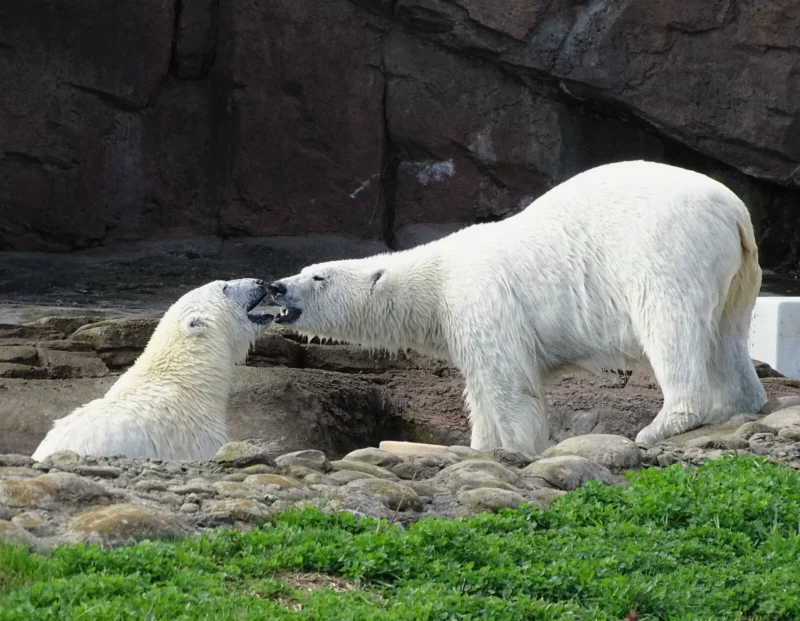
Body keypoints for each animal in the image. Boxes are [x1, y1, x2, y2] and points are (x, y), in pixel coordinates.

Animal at [269, 160, 768, 456]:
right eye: (304, 269)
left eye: (317, 277)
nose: (275, 287)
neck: (437, 276)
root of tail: (734, 210)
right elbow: (479, 390)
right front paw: (480, 446)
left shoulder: (481, 300)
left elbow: (509, 385)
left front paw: (516, 450)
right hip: (741, 272)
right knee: (728, 335)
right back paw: (740, 403)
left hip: (669, 250)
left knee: (671, 325)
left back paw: (657, 426)